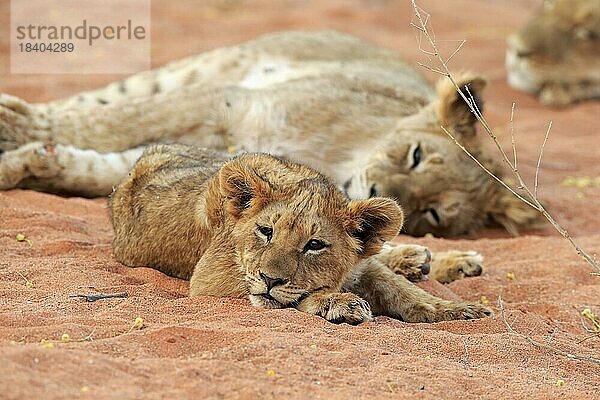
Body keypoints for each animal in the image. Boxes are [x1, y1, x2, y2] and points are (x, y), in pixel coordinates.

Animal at [0, 32, 540, 238]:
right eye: (415, 154)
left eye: (432, 214)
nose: (379, 192)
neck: (338, 161)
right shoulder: (233, 100)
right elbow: (110, 123)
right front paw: (17, 133)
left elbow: (107, 168)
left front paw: (35, 164)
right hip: (199, 69)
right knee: (94, 102)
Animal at [110, 145, 490, 324]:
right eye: (265, 231)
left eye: (314, 245)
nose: (269, 279)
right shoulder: (208, 279)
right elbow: (293, 297)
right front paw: (338, 302)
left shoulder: (364, 266)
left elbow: (401, 290)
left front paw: (456, 310)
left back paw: (433, 259)